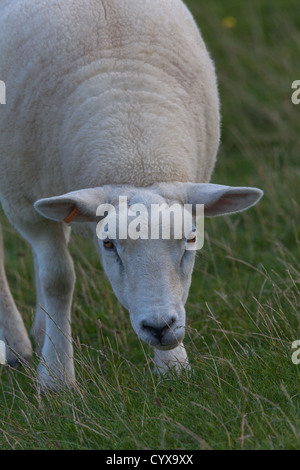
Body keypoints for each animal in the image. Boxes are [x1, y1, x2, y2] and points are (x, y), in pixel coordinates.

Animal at [0, 0, 262, 390]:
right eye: (109, 245)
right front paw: (57, 378)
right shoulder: (24, 205)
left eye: (191, 238)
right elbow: (58, 279)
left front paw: (172, 367)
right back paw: (16, 345)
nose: (159, 327)